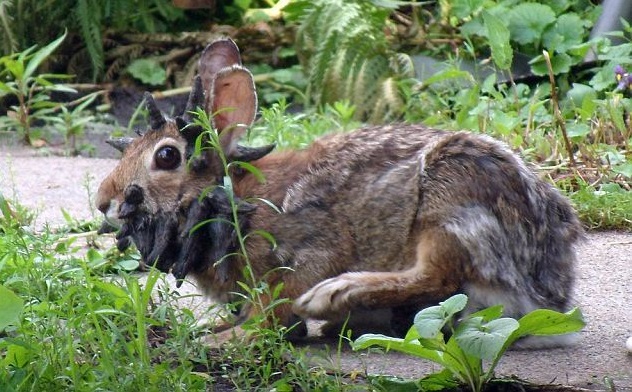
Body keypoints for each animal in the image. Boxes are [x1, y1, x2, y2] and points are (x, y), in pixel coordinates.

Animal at [95, 38, 584, 348]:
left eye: (166, 157)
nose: (104, 201)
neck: (232, 196)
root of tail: (548, 292)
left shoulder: (305, 251)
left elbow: (275, 309)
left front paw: (229, 340)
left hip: (449, 201)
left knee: (437, 276)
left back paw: (336, 296)